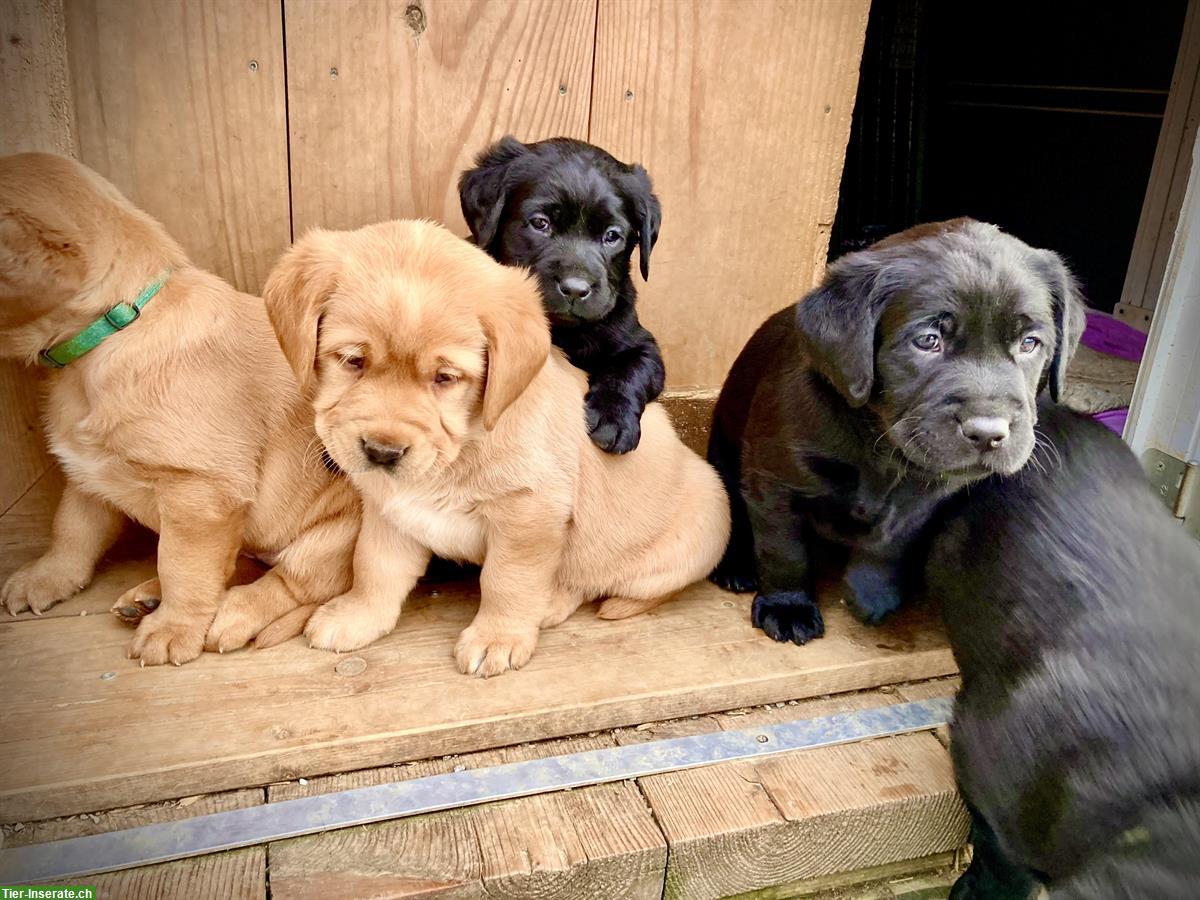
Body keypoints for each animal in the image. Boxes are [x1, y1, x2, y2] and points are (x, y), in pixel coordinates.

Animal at [0, 153, 357, 662]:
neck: (116, 327)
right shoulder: (88, 472)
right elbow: (71, 530)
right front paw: (46, 577)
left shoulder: (202, 493)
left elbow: (183, 568)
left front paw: (174, 628)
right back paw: (146, 596)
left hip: (335, 536)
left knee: (292, 581)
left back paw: (229, 614)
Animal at [250, 224, 729, 676]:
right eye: (353, 360)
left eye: (445, 378)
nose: (383, 452)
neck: (463, 444)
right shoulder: (391, 509)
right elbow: (374, 567)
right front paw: (358, 616)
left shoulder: (529, 514)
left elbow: (508, 581)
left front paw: (498, 637)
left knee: (594, 581)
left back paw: (550, 604)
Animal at [458, 136, 667, 453]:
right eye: (540, 223)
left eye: (612, 235)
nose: (575, 289)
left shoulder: (642, 343)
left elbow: (632, 368)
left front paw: (614, 419)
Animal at [705, 220, 1094, 643]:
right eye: (927, 340)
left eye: (1029, 343)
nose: (988, 432)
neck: (882, 447)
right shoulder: (775, 480)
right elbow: (783, 549)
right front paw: (787, 606)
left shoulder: (928, 495)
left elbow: (893, 542)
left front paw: (870, 592)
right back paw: (736, 566)